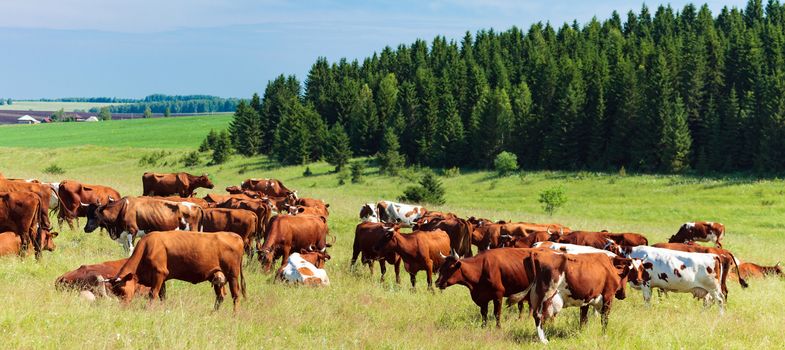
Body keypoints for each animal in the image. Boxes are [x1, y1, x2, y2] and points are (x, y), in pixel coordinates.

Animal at [108, 232, 245, 312]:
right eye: (115, 292)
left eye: (122, 290)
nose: (122, 308)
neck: (148, 246)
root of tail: (236, 236)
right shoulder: (162, 278)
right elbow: (162, 296)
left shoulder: (159, 273)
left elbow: (153, 294)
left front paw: (149, 310)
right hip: (217, 276)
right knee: (220, 296)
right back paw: (213, 313)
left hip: (233, 275)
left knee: (235, 295)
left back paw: (234, 315)